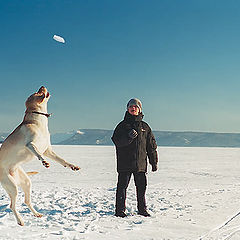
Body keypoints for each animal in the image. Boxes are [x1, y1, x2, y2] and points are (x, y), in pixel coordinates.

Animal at [0, 86, 80, 225]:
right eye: (37, 92)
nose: (42, 86)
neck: (38, 121)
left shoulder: (48, 150)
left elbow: (61, 160)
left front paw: (72, 166)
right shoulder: (30, 144)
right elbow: (37, 153)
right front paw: (44, 162)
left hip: (26, 182)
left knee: (27, 201)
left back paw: (36, 214)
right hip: (12, 186)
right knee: (12, 205)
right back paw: (20, 220)